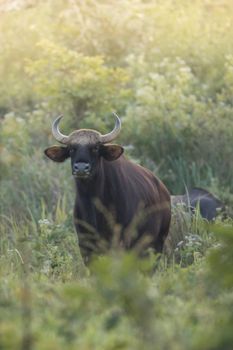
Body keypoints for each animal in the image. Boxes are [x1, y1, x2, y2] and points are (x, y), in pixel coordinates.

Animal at [44, 113, 171, 262]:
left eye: (95, 148)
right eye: (71, 149)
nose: (81, 167)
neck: (93, 203)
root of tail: (164, 191)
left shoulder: (121, 242)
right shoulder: (85, 244)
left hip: (156, 243)